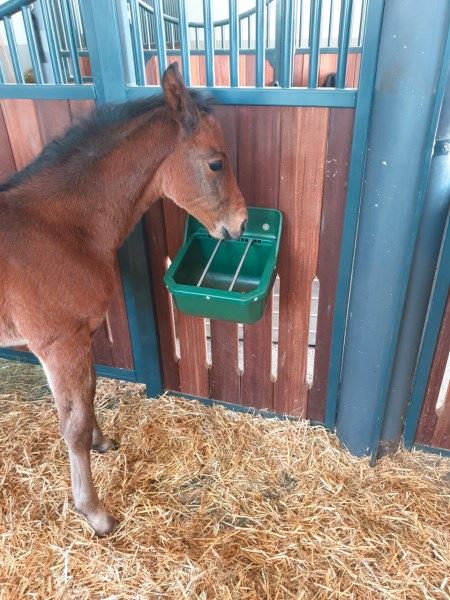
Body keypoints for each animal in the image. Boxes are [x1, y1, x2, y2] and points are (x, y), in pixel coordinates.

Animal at [0, 64, 246, 536]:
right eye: (216, 162)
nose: (240, 224)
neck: (61, 229)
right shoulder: (58, 345)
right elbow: (72, 425)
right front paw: (94, 512)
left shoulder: (81, 338)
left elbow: (90, 395)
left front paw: (102, 442)